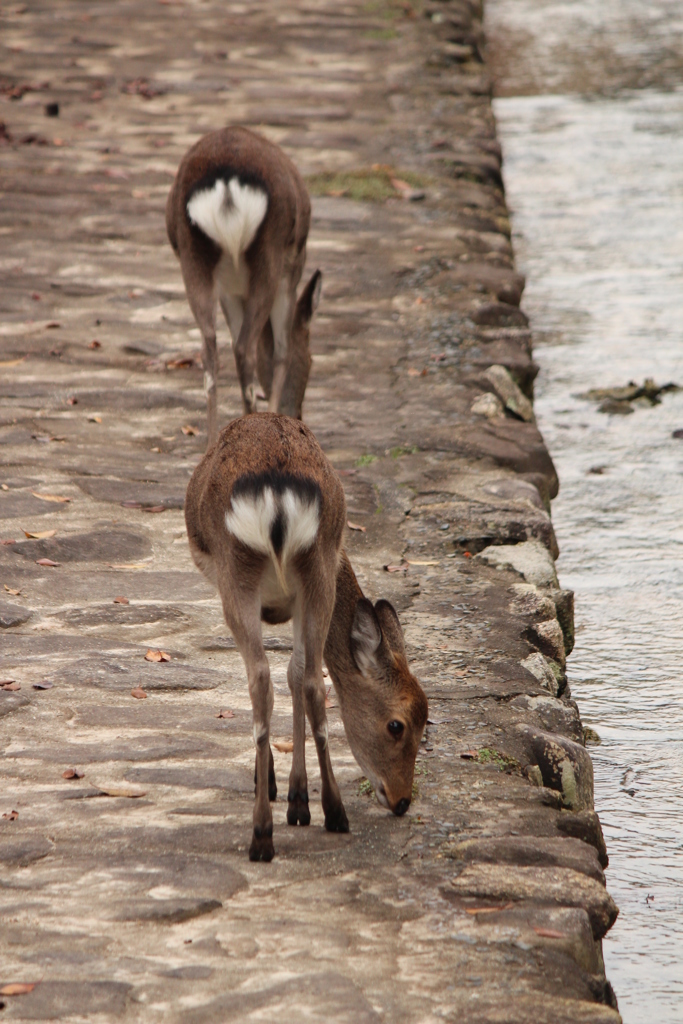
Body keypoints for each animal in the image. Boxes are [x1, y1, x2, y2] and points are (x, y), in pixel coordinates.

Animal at [167, 123, 323, 444]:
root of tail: (226, 185)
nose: (298, 412)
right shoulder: (292, 268)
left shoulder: (229, 288)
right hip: (271, 253)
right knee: (245, 348)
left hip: (191, 256)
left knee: (210, 349)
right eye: (312, 360)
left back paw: (213, 442)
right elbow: (281, 351)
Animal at [185, 411, 428, 860]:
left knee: (260, 679)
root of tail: (279, 499)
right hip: (317, 568)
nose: (402, 800)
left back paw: (268, 832)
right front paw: (298, 799)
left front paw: (281, 790)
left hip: (236, 570)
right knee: (313, 679)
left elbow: (284, 675)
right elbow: (297, 673)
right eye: (398, 725)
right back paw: (329, 811)